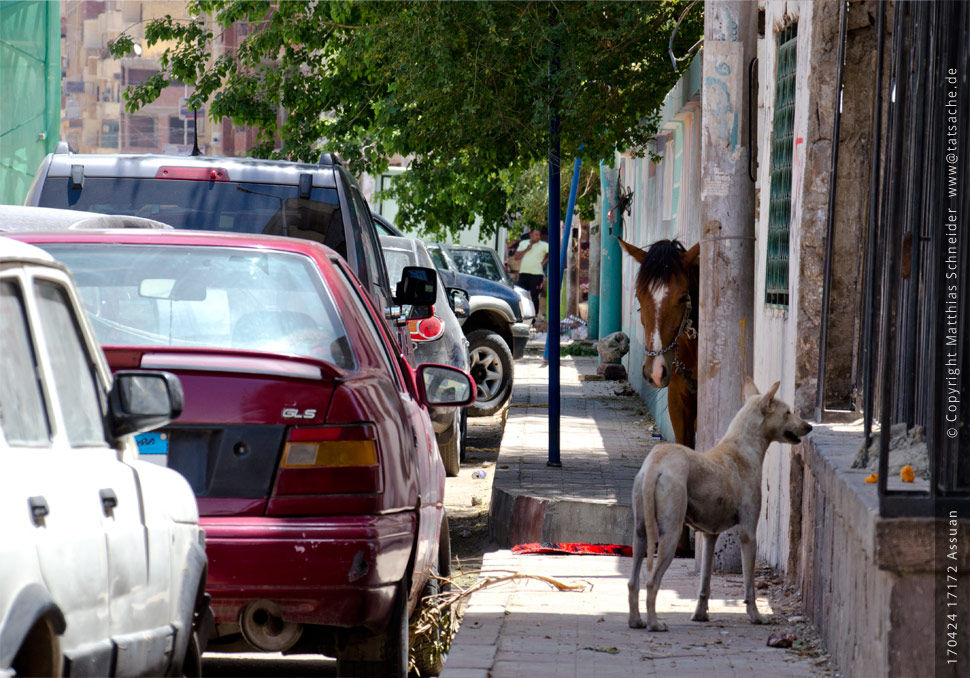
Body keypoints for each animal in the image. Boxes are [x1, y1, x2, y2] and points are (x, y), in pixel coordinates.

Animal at [628, 380, 808, 636]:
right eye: (788, 412)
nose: (809, 426)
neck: (742, 448)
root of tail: (655, 464)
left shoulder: (709, 535)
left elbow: (705, 581)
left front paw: (700, 614)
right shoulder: (748, 534)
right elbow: (749, 585)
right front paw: (756, 616)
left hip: (641, 534)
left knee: (633, 582)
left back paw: (636, 621)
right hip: (670, 535)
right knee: (652, 582)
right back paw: (654, 624)